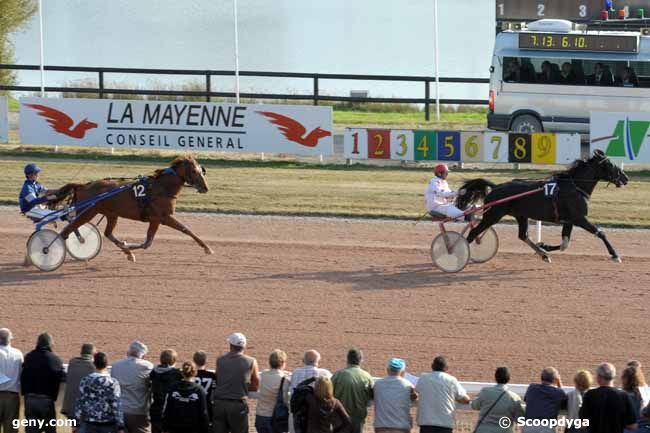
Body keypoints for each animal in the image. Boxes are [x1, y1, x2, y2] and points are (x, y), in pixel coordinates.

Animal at [53, 157, 213, 262]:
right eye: (194, 171)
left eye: (202, 171)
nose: (205, 188)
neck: (161, 188)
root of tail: (83, 185)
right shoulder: (162, 217)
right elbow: (185, 229)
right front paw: (207, 248)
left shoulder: (155, 220)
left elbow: (148, 243)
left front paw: (127, 249)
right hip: (88, 212)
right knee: (67, 231)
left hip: (111, 214)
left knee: (107, 233)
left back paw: (127, 252)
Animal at [454, 150, 624, 262]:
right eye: (611, 164)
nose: (625, 178)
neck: (574, 187)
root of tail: (496, 187)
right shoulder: (579, 218)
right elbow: (600, 233)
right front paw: (615, 254)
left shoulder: (569, 220)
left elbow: (565, 244)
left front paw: (545, 246)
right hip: (493, 215)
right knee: (474, 232)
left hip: (521, 215)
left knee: (523, 235)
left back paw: (543, 254)